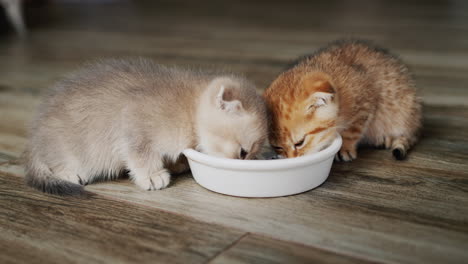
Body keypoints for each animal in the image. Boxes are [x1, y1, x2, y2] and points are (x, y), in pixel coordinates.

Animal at [24, 58, 266, 195]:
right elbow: (141, 155)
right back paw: (68, 173)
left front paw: (177, 164)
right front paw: (152, 175)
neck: (189, 107)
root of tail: (34, 141)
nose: (245, 165)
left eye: (252, 154)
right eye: (243, 152)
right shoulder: (133, 122)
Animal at [266, 39, 422, 161]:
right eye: (277, 146)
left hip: (404, 113)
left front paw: (345, 148)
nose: (292, 158)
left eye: (300, 143)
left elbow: (352, 131)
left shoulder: (365, 104)